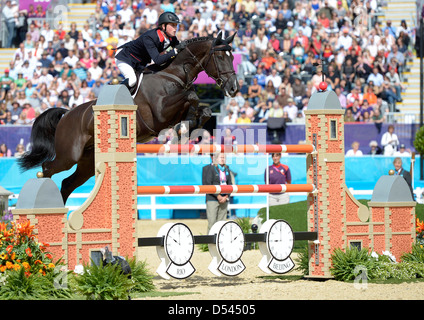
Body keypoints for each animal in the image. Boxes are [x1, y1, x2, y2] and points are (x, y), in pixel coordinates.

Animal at [18, 31, 240, 202]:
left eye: (232, 56)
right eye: (221, 57)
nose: (234, 88)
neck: (174, 74)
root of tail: (66, 115)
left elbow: (201, 109)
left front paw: (190, 126)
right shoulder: (161, 112)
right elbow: (192, 96)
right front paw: (186, 127)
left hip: (87, 162)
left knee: (67, 184)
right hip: (69, 155)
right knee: (48, 168)